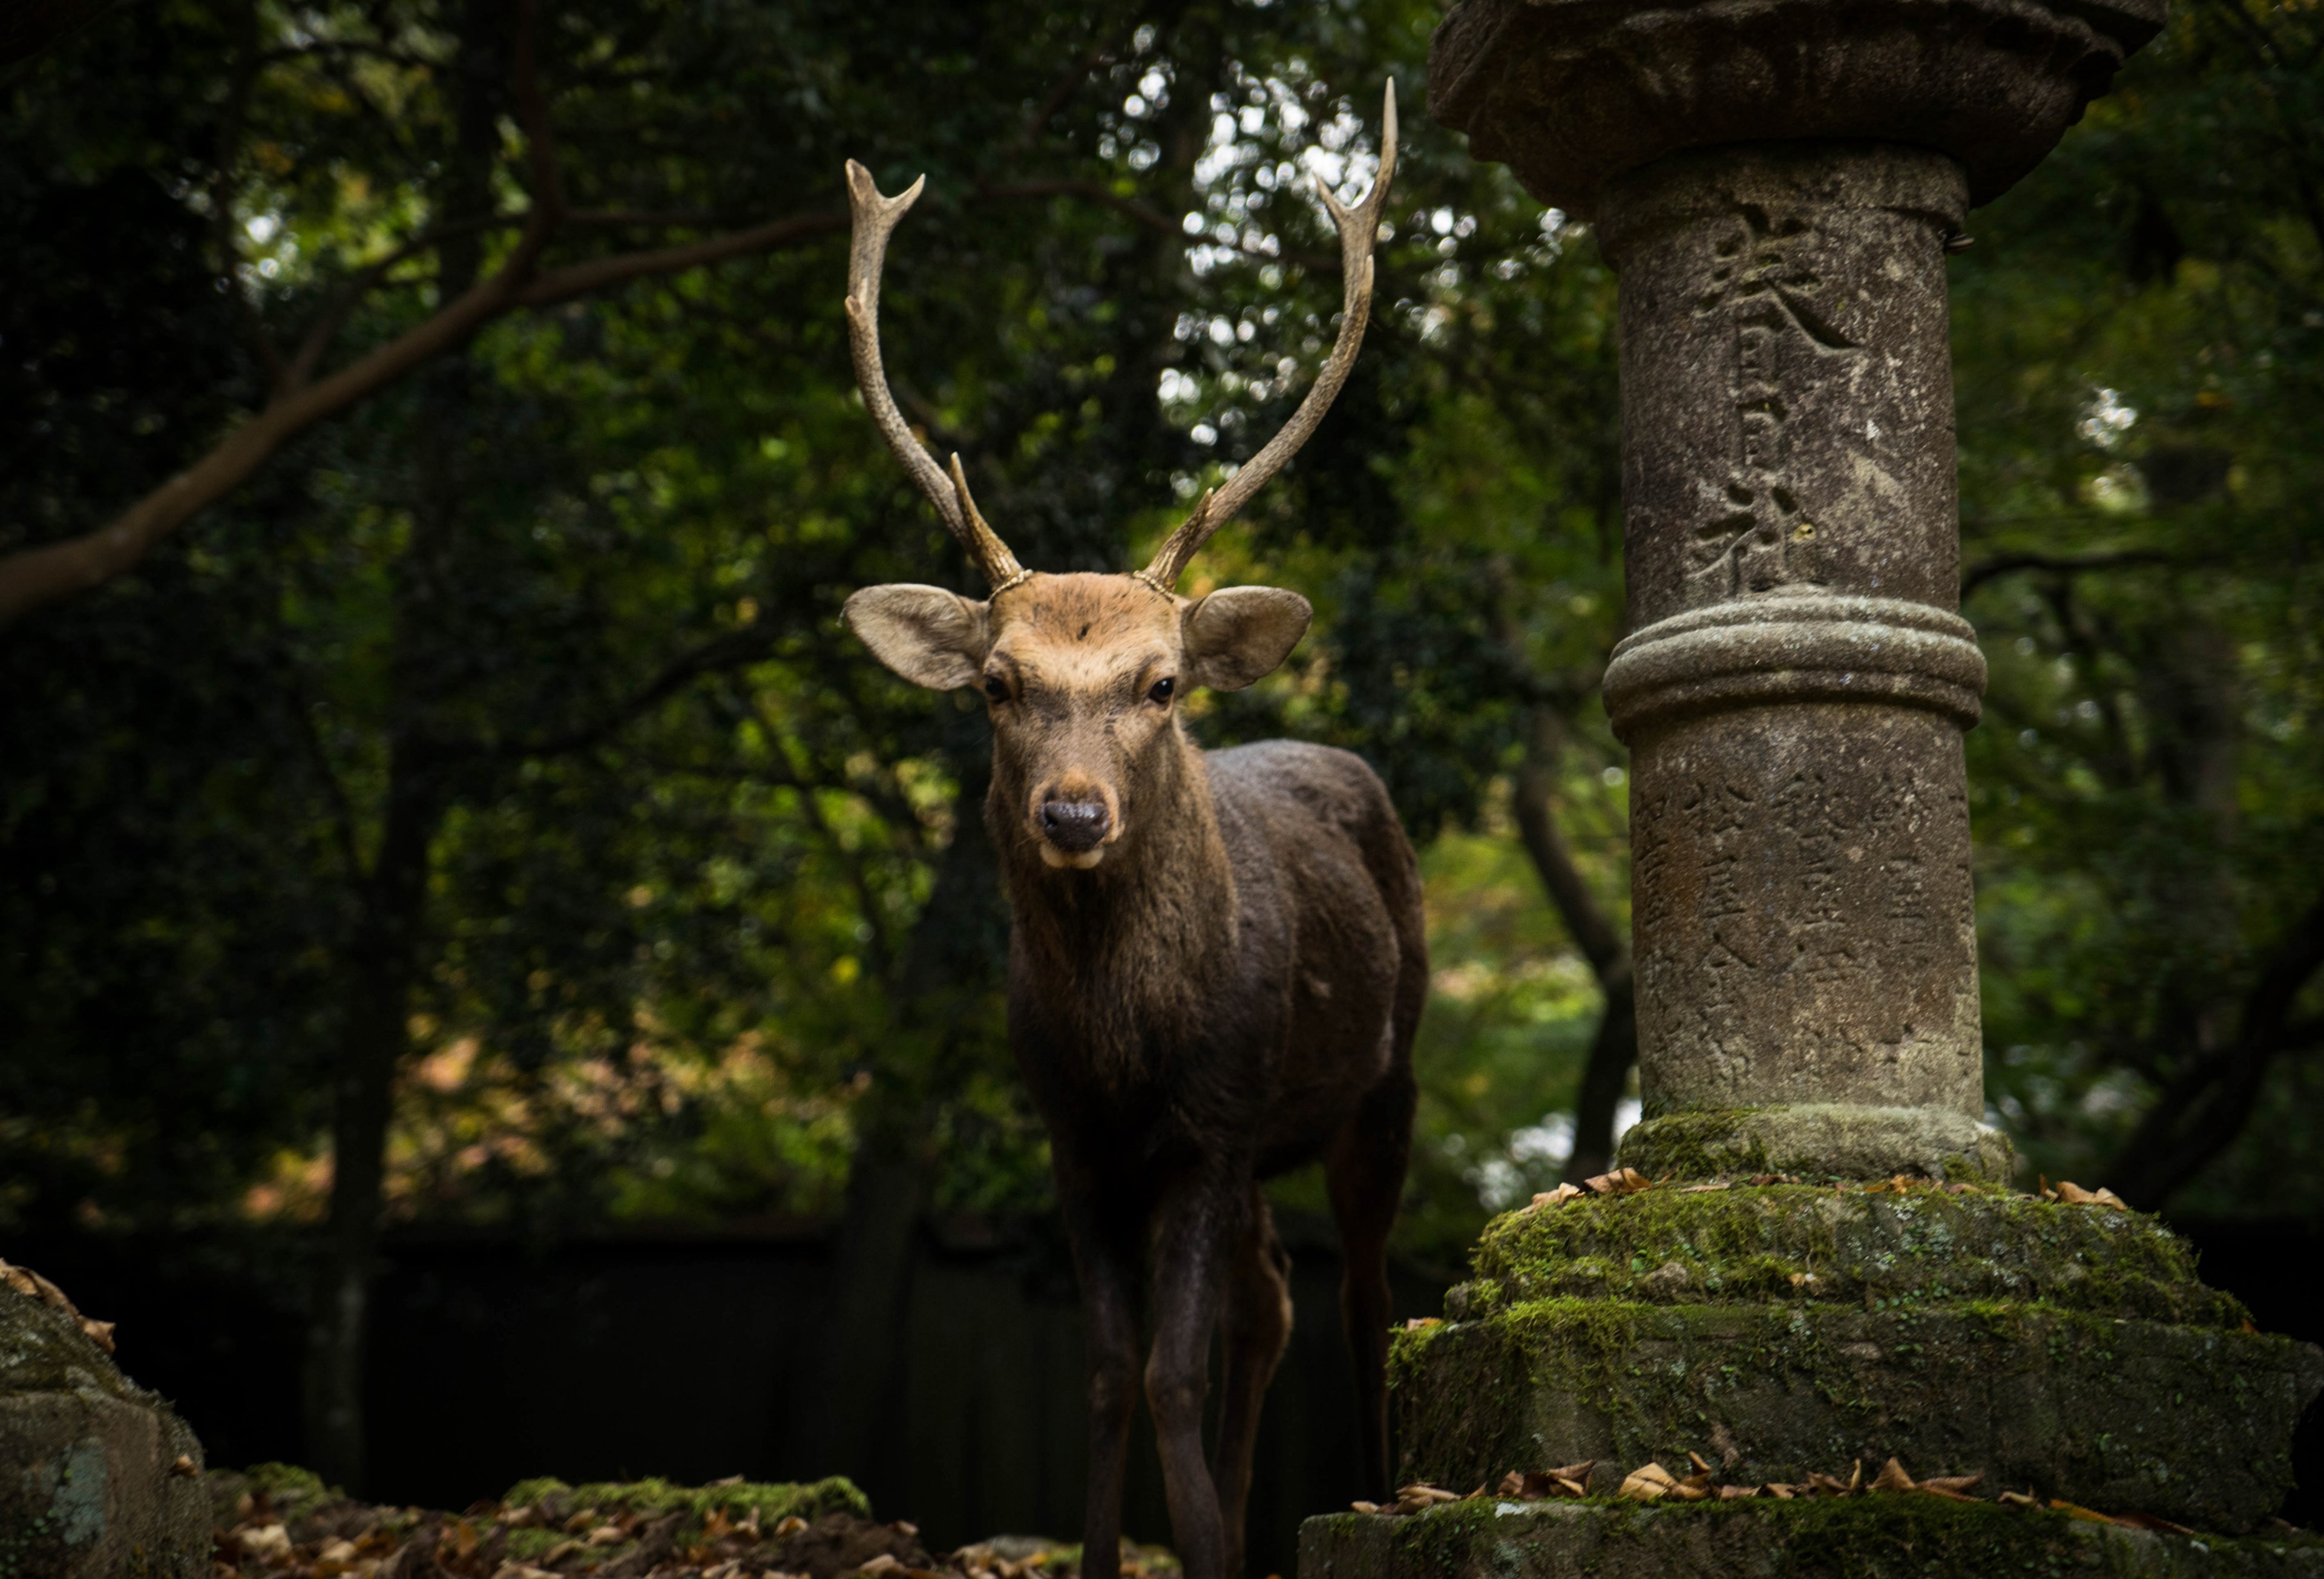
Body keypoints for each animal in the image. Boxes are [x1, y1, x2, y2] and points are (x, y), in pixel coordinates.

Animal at [837, 85, 1421, 1579]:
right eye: (998, 683)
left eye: (1159, 684)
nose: (1072, 808)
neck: (1123, 1042)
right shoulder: (1076, 1138)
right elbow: (1108, 1374)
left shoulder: (1210, 1121)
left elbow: (1169, 1368)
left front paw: (1209, 1544)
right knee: (1272, 1297)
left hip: (1380, 1077)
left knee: (1362, 1292)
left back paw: (1376, 1498)